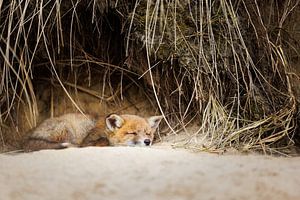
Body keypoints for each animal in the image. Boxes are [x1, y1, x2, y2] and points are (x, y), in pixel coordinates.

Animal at [22, 112, 163, 152]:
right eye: (133, 133)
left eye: (148, 133)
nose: (147, 141)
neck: (105, 131)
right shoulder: (87, 142)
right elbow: (102, 141)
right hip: (66, 129)